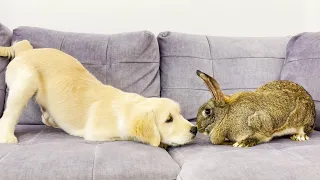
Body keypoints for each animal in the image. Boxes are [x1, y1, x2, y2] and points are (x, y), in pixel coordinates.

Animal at [0, 40, 198, 147]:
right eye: (168, 120)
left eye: (180, 114)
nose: (194, 129)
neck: (126, 108)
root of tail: (27, 50)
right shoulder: (96, 133)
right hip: (26, 81)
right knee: (9, 115)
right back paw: (7, 137)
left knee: (45, 116)